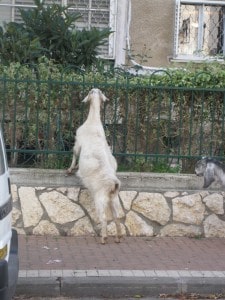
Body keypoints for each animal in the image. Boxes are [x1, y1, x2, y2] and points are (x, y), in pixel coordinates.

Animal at [67, 88, 122, 245]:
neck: (93, 121)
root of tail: (114, 184)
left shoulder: (78, 142)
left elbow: (74, 154)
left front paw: (70, 169)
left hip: (100, 198)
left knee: (104, 218)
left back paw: (104, 238)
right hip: (114, 200)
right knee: (117, 217)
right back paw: (118, 237)